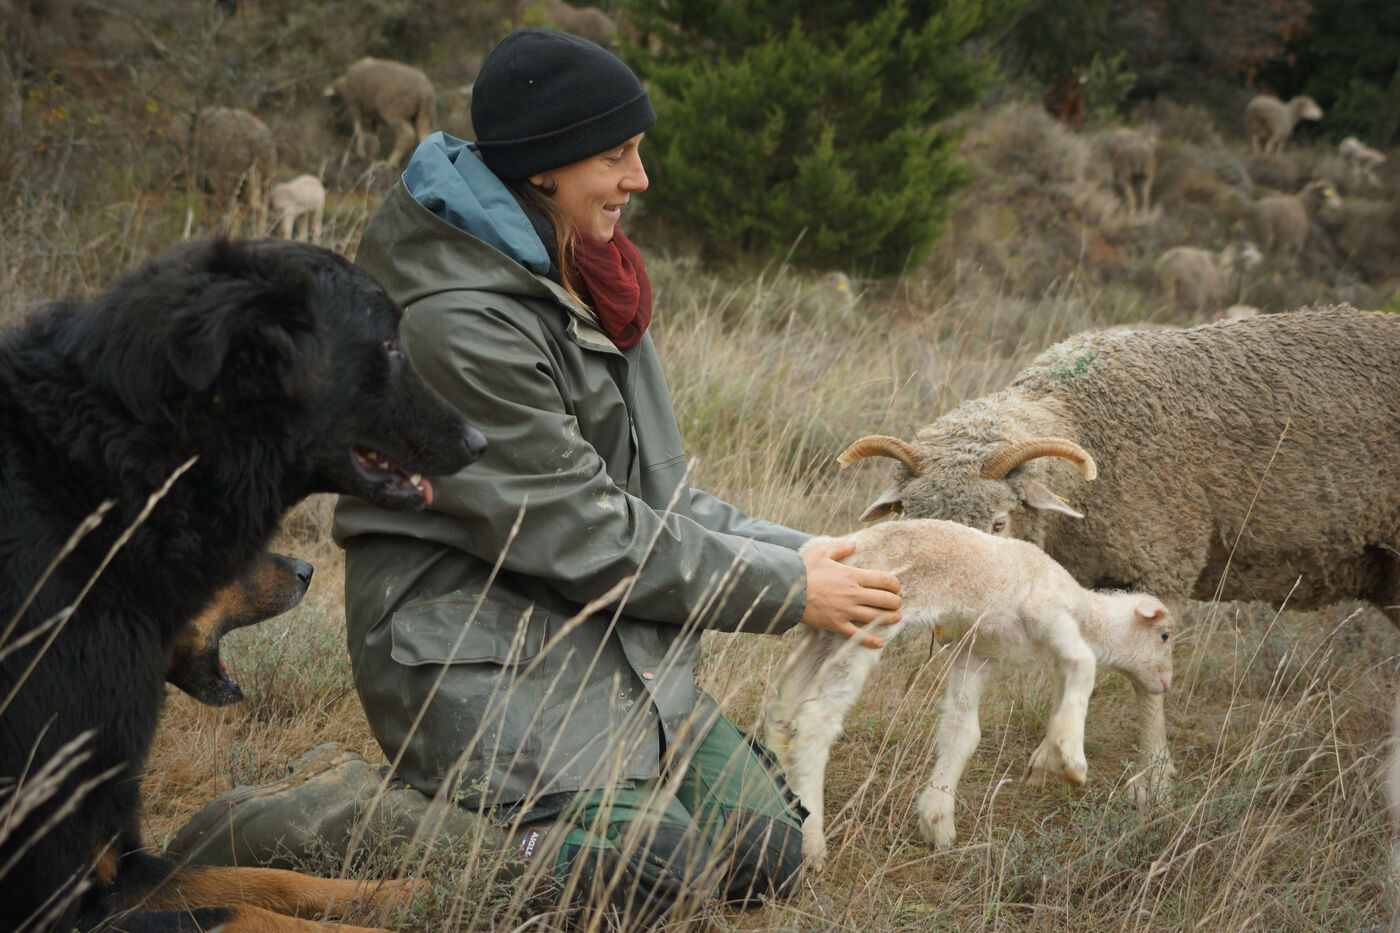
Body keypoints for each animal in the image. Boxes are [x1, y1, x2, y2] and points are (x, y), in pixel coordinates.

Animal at [0, 238, 486, 932]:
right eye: (389, 347)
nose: (307, 572)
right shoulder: (66, 904)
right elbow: (244, 912)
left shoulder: (122, 870)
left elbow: (266, 880)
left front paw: (396, 893)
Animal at [764, 519, 1174, 863]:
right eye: (1166, 636)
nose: (1167, 684)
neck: (1085, 610)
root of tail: (828, 546)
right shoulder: (1045, 609)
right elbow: (1085, 662)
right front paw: (1070, 760)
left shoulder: (976, 653)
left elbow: (963, 731)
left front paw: (938, 821)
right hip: (868, 622)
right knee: (815, 722)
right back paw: (812, 843)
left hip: (827, 630)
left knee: (785, 706)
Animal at [834, 307, 1400, 794]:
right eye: (911, 517)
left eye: (998, 522)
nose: (949, 624)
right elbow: (1072, 658)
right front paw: (1050, 757)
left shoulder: (1163, 566)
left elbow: (1147, 683)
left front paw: (1153, 779)